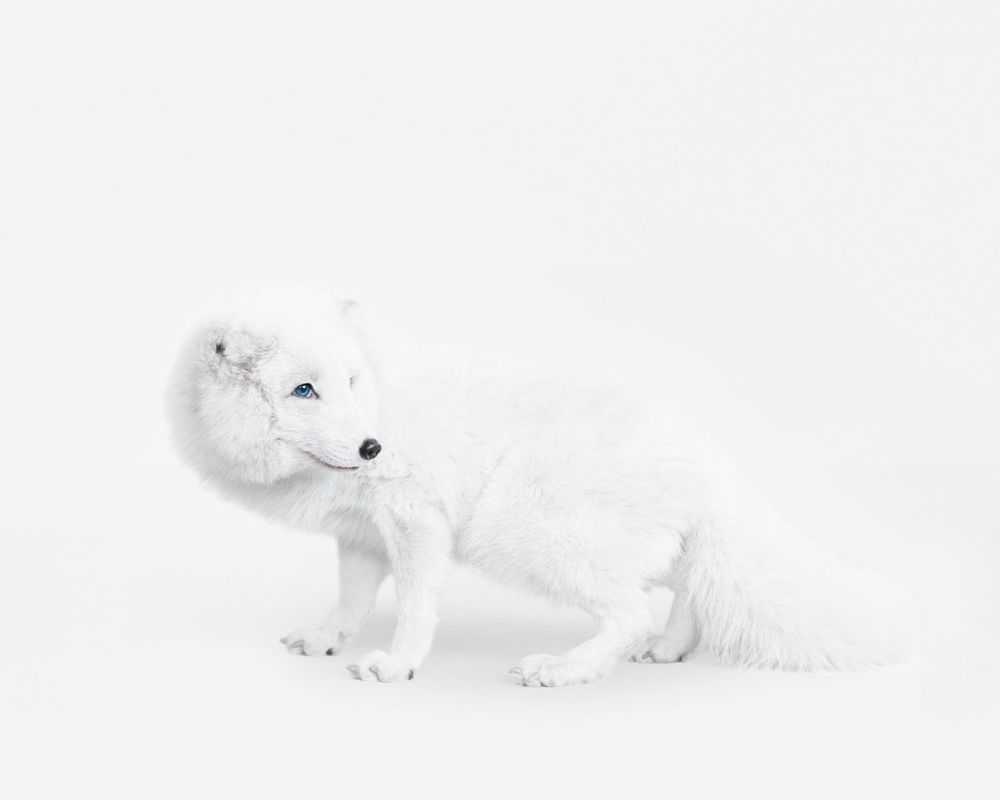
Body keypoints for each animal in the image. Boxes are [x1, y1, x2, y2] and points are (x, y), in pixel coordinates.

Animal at [167, 287, 913, 687]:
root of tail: (708, 462)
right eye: (304, 389)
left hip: (519, 532)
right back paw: (670, 648)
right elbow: (349, 600)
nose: (373, 447)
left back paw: (564, 668)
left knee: (632, 609)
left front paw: (399, 665)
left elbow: (415, 607)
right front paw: (327, 638)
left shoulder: (417, 522)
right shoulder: (362, 535)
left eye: (349, 381)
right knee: (682, 583)